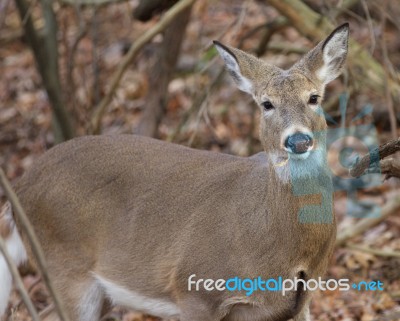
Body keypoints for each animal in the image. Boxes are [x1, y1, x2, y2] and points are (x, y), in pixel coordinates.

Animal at [0, 23, 348, 320]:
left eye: (314, 98)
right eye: (266, 104)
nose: (298, 140)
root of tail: (19, 188)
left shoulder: (299, 302)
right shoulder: (194, 289)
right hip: (64, 264)